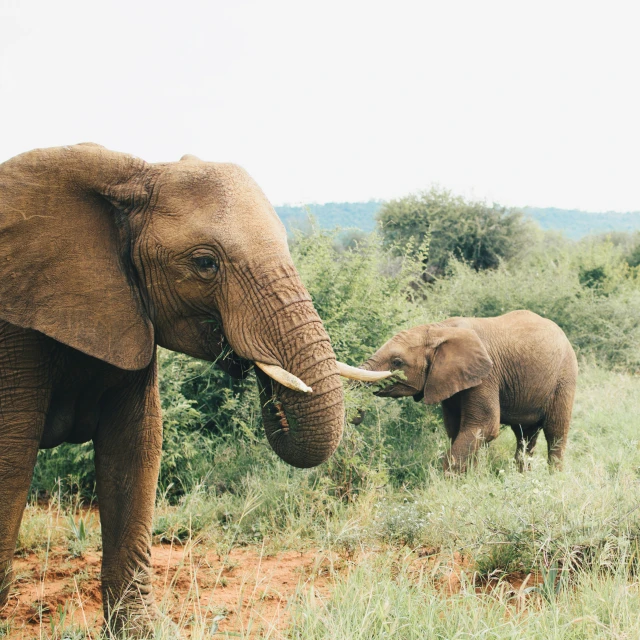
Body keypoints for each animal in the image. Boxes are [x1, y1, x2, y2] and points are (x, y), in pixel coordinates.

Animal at [0, 144, 384, 636]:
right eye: (205, 263)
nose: (256, 371)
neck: (134, 176)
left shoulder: (131, 313)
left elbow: (135, 447)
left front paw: (139, 631)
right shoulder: (14, 329)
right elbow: (13, 456)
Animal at [364, 312, 580, 472]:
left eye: (397, 362)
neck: (440, 329)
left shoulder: (486, 375)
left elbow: (484, 426)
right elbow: (457, 429)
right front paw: (470, 477)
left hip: (564, 377)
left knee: (555, 433)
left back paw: (553, 478)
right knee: (525, 436)